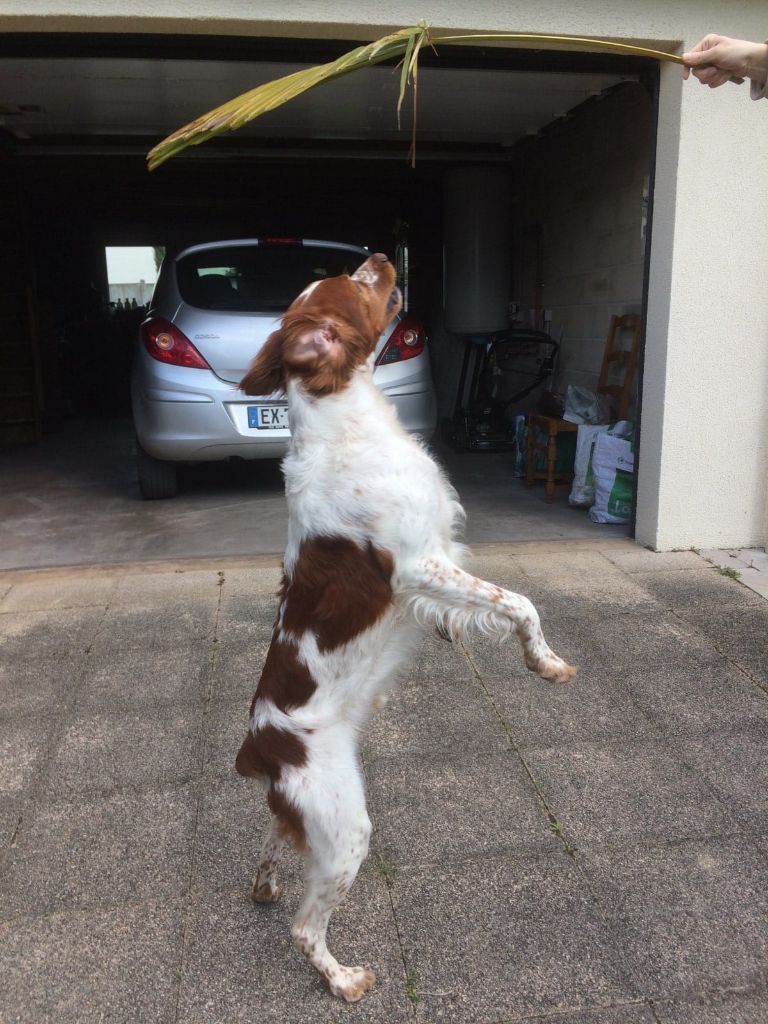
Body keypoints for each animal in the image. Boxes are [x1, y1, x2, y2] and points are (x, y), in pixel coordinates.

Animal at [234, 251, 577, 1003]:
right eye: (354, 284)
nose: (383, 257)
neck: (349, 424)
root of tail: (260, 747)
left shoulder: (440, 558)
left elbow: (483, 605)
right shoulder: (420, 565)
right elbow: (519, 602)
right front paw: (544, 662)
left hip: (304, 814)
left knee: (271, 840)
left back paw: (264, 886)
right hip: (346, 826)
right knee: (307, 927)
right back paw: (343, 980)